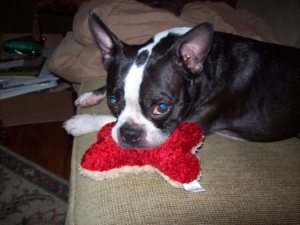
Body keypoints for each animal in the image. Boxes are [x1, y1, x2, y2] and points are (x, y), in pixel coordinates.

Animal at [64, 11, 300, 149]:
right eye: (113, 102)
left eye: (161, 107)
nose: (130, 135)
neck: (207, 64)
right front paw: (90, 95)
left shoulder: (182, 125)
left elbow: (108, 122)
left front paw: (81, 122)